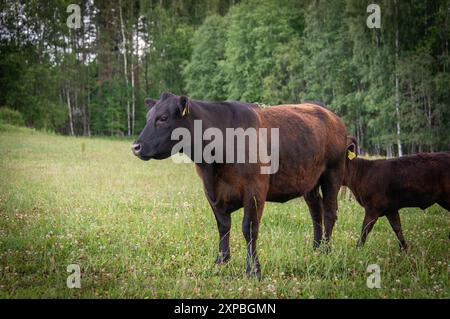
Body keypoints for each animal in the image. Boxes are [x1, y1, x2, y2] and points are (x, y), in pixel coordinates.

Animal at [131, 92, 348, 280]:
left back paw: (326, 250)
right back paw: (316, 248)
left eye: (163, 118)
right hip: (309, 181)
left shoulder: (255, 189)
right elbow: (223, 226)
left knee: (330, 212)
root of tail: (331, 115)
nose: (136, 147)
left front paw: (253, 270)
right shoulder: (211, 191)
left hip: (333, 172)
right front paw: (221, 261)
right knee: (316, 211)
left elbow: (249, 228)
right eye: (148, 117)